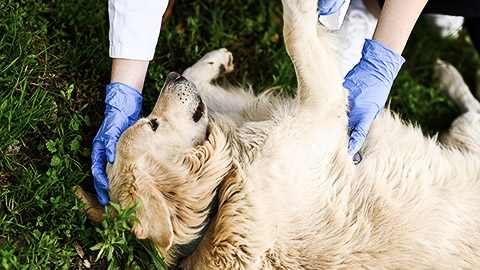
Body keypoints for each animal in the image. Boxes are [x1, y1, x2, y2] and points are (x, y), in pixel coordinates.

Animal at [77, 0, 480, 266]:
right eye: (153, 125)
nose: (171, 75)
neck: (221, 194)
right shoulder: (321, 105)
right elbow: (295, 32)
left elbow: (203, 85)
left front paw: (210, 62)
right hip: (464, 135)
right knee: (473, 109)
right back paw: (447, 74)